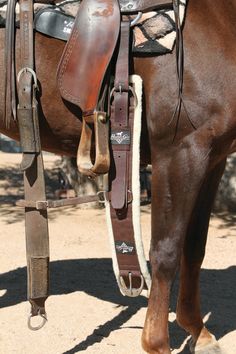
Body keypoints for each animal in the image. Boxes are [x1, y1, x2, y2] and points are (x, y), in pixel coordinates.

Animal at [0, 0, 236, 354]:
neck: (219, 21)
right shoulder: (180, 153)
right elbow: (165, 252)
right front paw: (157, 343)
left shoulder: (213, 160)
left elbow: (194, 248)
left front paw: (198, 331)